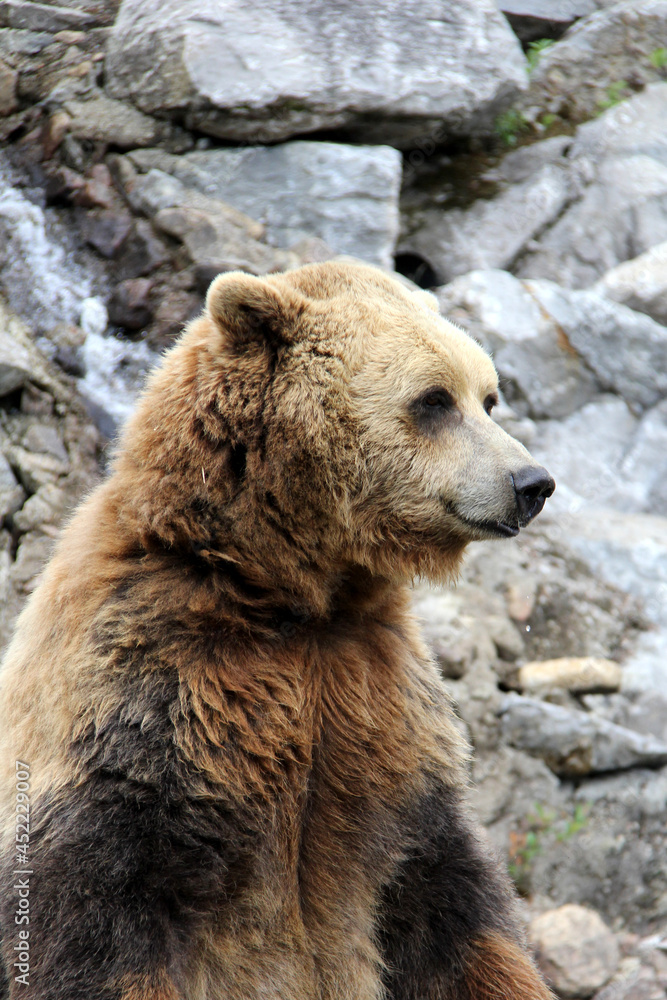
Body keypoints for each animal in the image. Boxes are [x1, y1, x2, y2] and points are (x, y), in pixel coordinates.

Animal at [0, 262, 556, 996]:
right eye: (435, 399)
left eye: (488, 398)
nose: (532, 481)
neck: (290, 591)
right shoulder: (146, 688)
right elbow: (97, 918)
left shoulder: (380, 700)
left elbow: (450, 903)